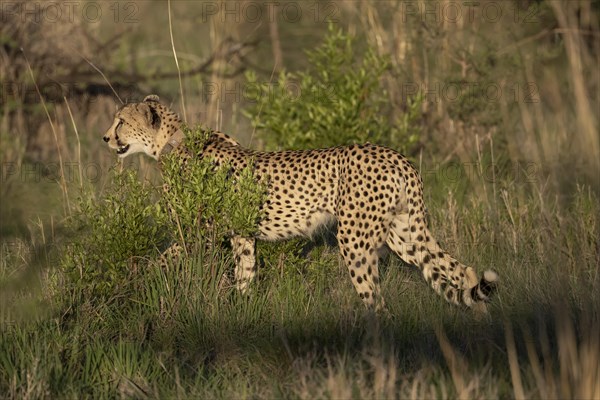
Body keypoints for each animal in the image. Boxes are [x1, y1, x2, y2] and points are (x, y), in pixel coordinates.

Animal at [103, 96, 496, 312]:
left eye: (121, 121)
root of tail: (394, 155)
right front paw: (243, 315)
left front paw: (131, 285)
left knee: (376, 299)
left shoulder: (198, 234)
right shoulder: (242, 236)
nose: (105, 137)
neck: (171, 143)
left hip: (355, 238)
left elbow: (159, 260)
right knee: (461, 271)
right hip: (404, 233)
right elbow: (245, 276)